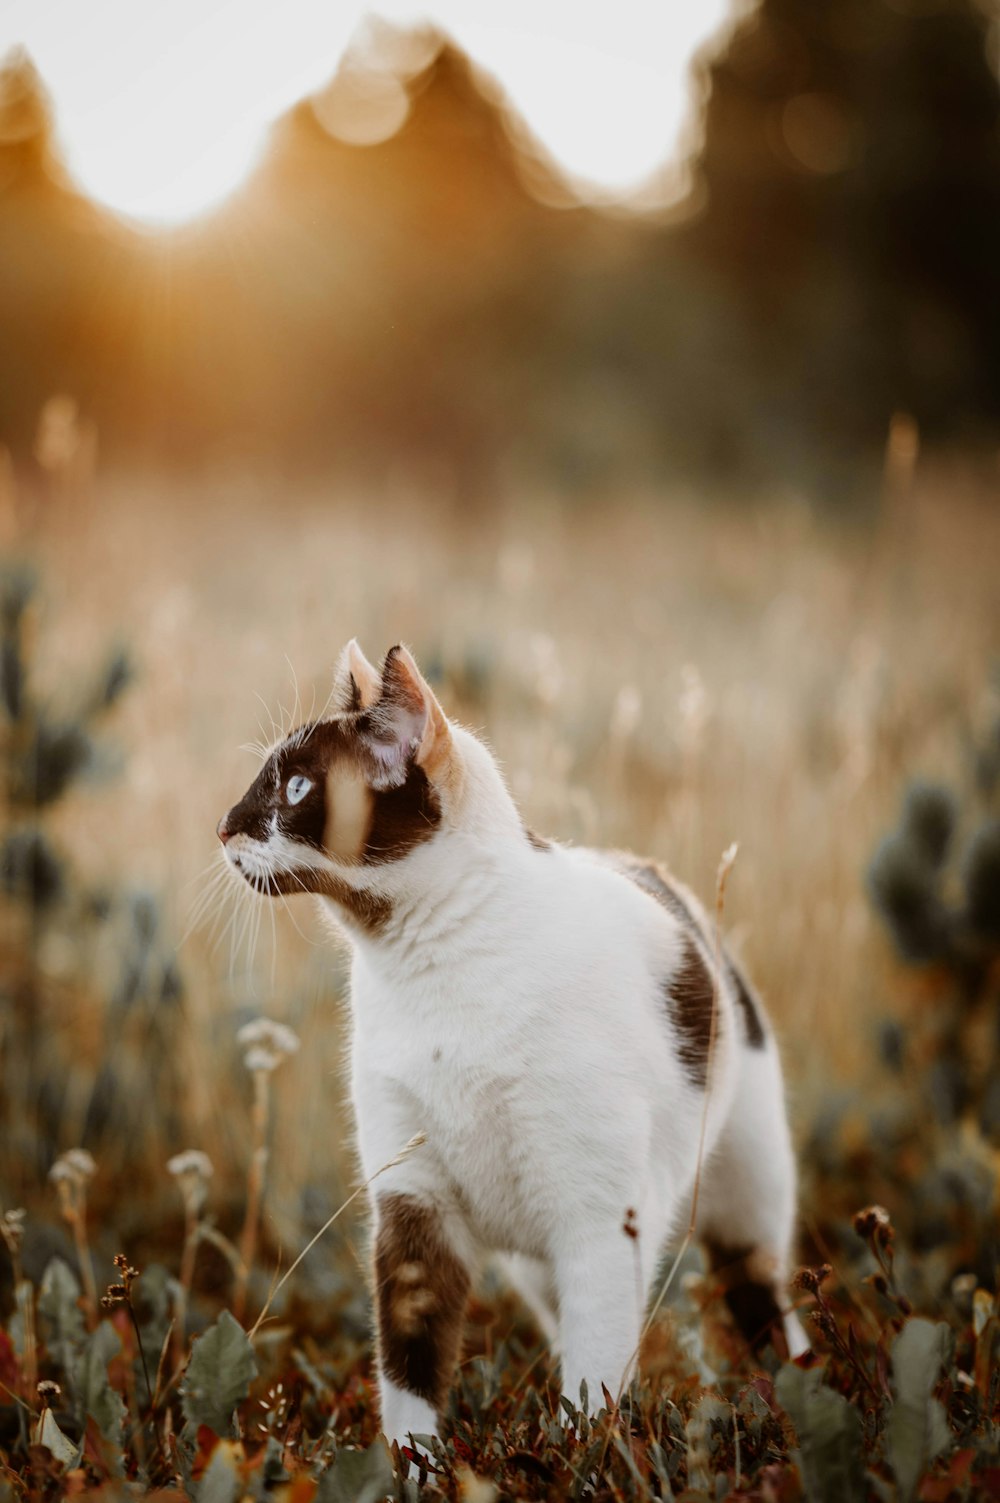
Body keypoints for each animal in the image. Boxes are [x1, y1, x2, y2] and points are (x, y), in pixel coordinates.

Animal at [216, 640, 806, 1448]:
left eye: (299, 786)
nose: (224, 825)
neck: (429, 968)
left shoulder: (600, 1221)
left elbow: (594, 1383)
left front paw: (584, 1457)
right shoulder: (414, 1205)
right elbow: (410, 1370)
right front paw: (415, 1465)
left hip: (744, 1201)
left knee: (765, 1303)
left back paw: (803, 1386)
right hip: (538, 1262)